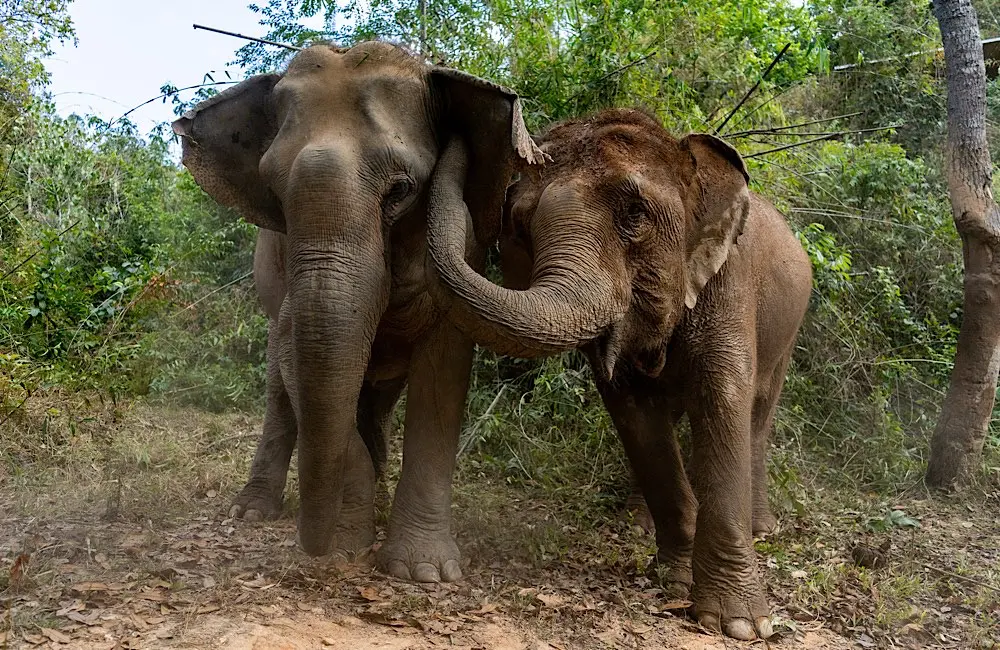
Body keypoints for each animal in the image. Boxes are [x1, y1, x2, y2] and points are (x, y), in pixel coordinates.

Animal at [171, 41, 543, 582]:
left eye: (402, 190)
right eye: (273, 194)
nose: (314, 548)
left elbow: (443, 374)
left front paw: (422, 573)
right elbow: (301, 367)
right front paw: (351, 545)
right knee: (281, 390)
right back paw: (251, 512)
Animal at [424, 108, 812, 640]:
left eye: (635, 215)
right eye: (520, 225)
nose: (456, 130)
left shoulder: (730, 286)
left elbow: (723, 399)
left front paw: (739, 625)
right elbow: (635, 416)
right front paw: (674, 579)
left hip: (790, 329)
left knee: (758, 417)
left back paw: (761, 528)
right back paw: (638, 523)